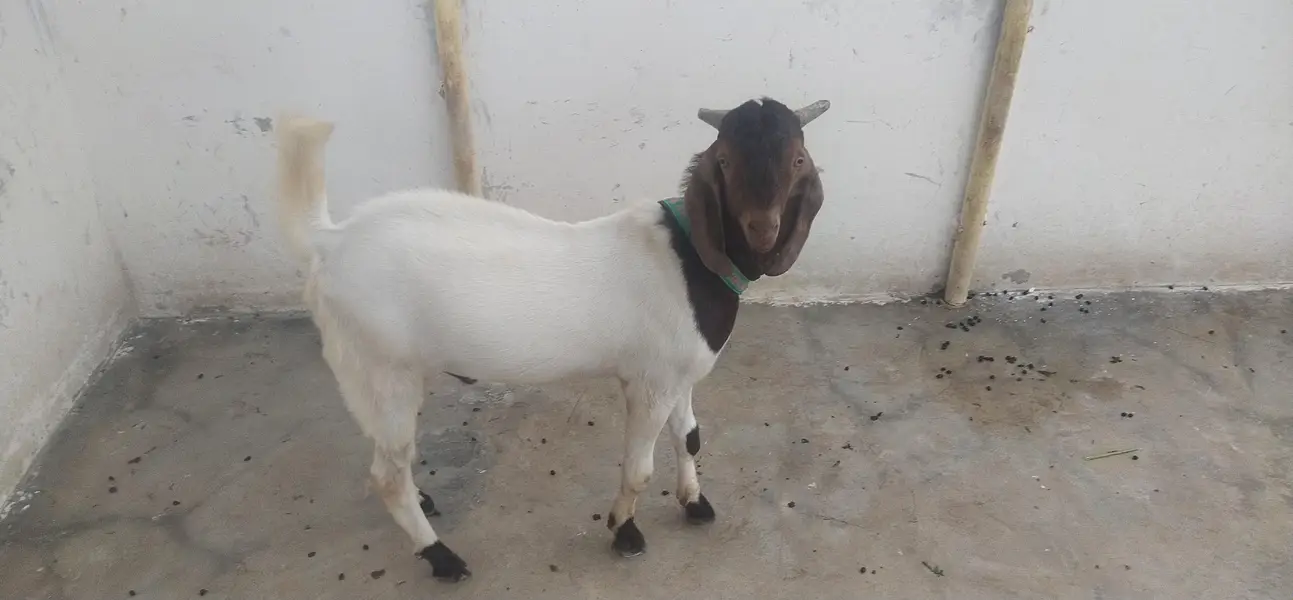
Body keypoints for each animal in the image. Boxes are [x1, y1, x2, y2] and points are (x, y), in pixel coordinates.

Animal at [274, 97, 830, 582]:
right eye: (725, 160)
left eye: (797, 158)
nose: (762, 228)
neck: (688, 257)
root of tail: (330, 241)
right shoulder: (649, 384)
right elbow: (639, 468)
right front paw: (624, 531)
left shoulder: (678, 373)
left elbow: (690, 436)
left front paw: (694, 502)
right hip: (379, 365)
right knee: (386, 475)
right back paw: (441, 556)